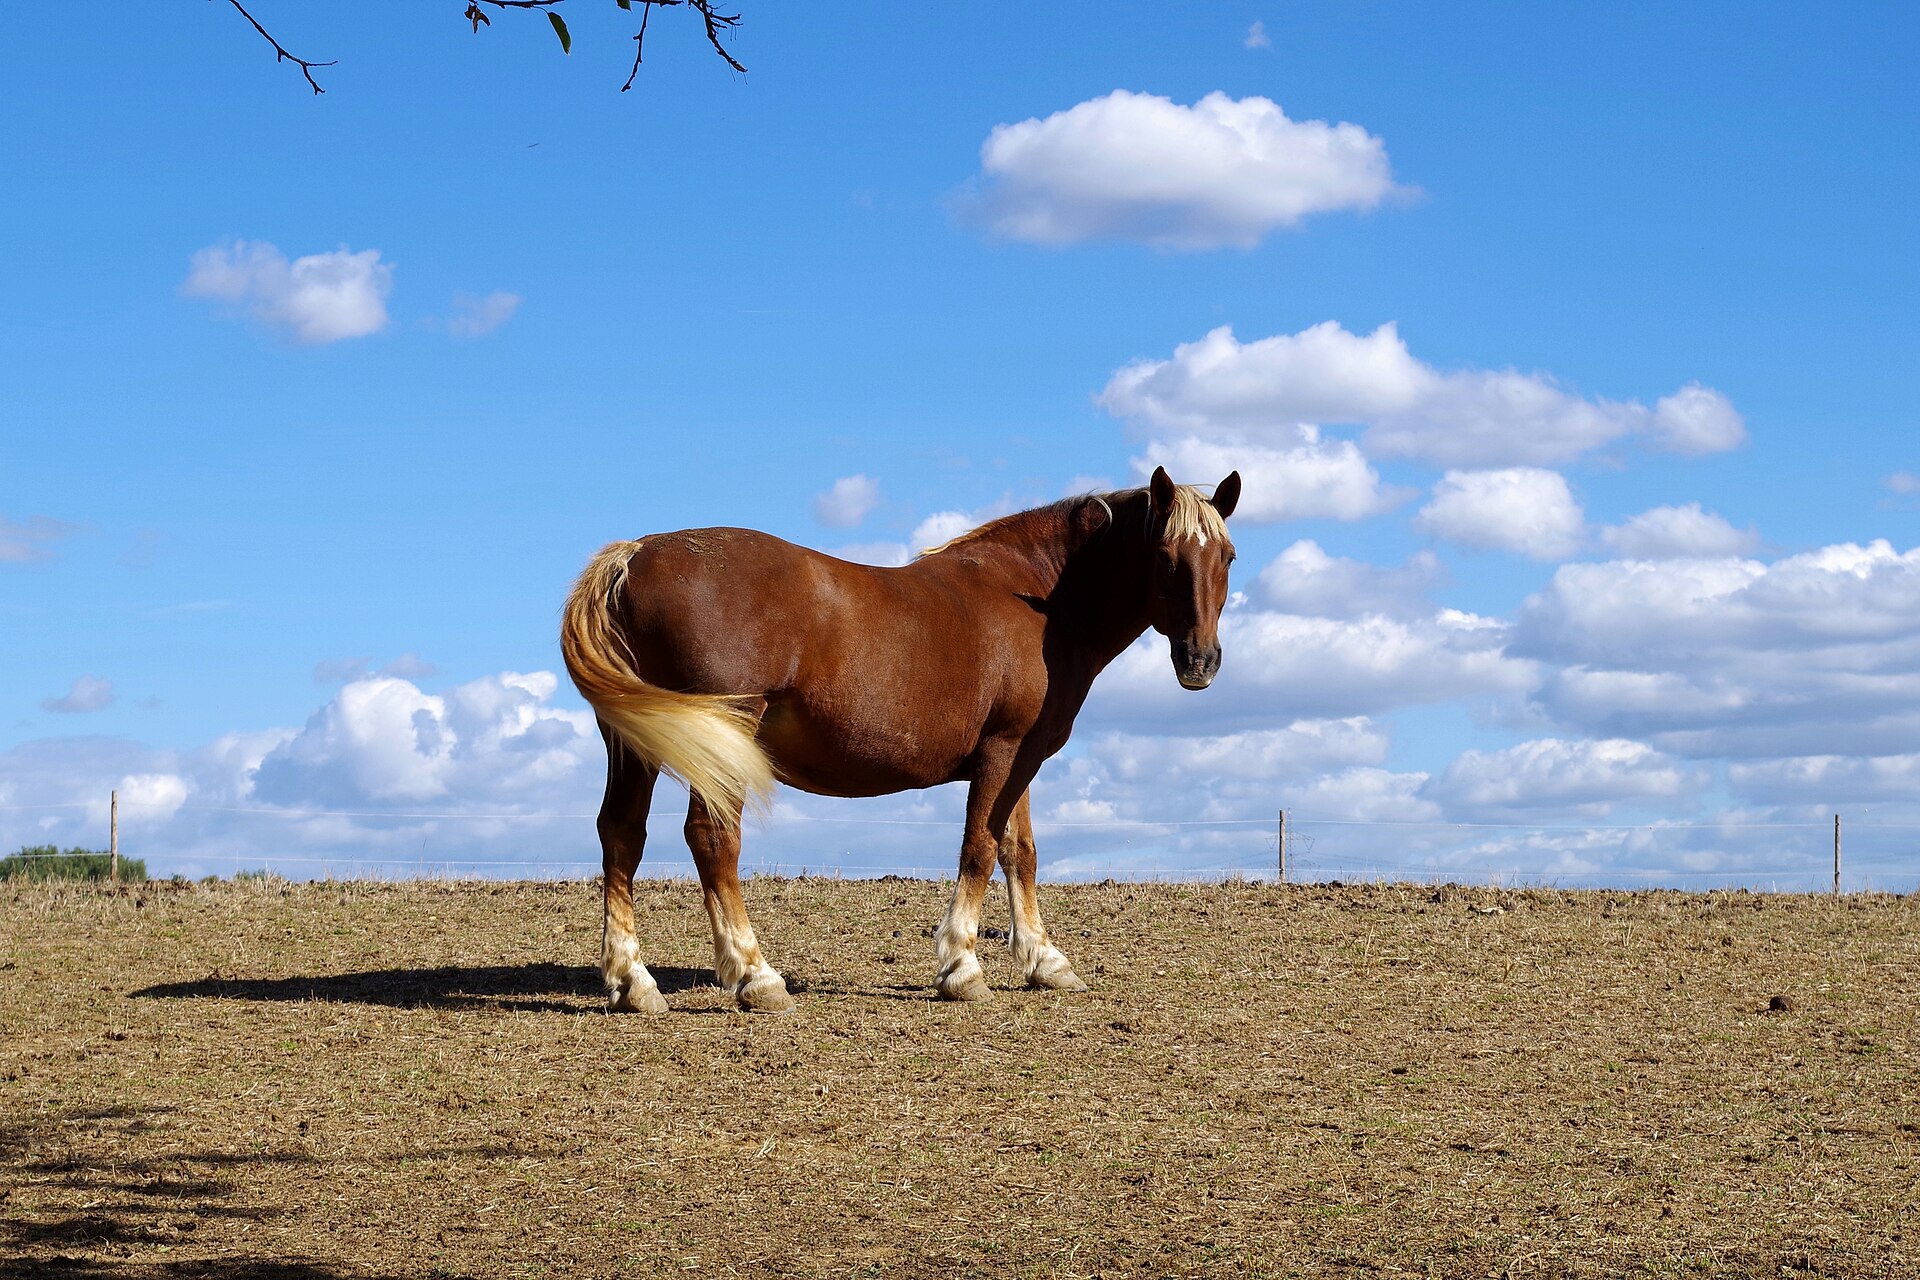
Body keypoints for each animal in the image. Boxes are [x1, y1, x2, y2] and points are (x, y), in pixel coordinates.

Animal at [560, 465, 1241, 1012]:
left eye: (1228, 556)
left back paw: (633, 981)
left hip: (635, 744)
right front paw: (962, 968)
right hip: (720, 738)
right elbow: (980, 848)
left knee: (622, 834)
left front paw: (1045, 962)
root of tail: (633, 555)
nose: (1201, 662)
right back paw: (757, 977)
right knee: (711, 839)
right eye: (1166, 556)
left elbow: (1020, 852)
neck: (1039, 602)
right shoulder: (1001, 755)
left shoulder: (1021, 756)